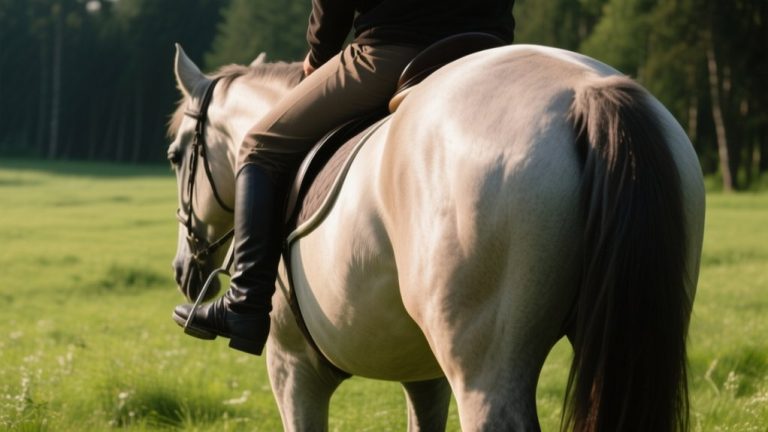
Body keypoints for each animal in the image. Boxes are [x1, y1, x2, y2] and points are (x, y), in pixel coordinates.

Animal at [166, 43, 705, 431]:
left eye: (174, 156)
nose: (183, 270)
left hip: (484, 375)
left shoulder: (293, 370)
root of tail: (586, 91)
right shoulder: (424, 376)